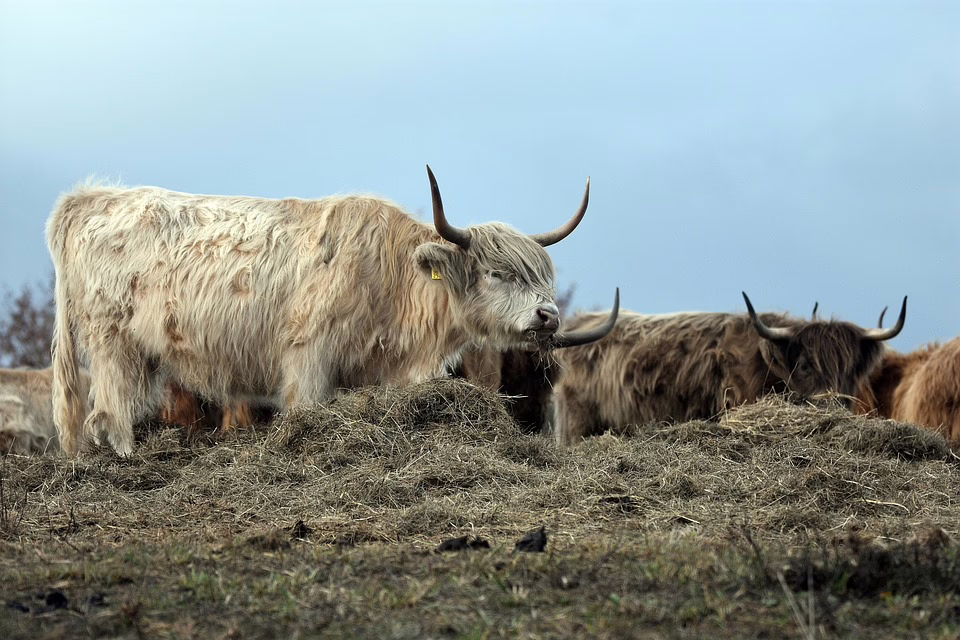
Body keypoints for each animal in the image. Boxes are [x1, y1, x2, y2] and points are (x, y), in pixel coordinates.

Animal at [47, 166, 614, 456]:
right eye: (498, 273)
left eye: (544, 278)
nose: (549, 316)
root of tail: (92, 197)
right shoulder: (308, 357)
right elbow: (304, 412)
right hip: (111, 342)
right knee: (107, 411)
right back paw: (126, 458)